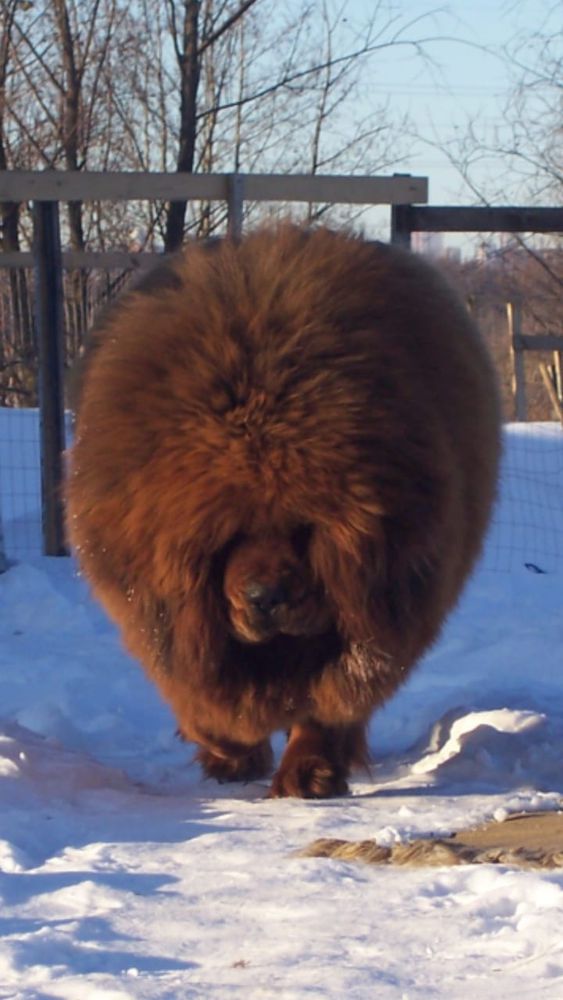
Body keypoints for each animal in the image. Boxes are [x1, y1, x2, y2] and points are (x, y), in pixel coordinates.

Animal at [67, 225, 502, 796]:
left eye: (302, 530)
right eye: (229, 537)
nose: (265, 597)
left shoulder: (368, 620)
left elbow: (326, 702)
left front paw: (308, 773)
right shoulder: (164, 614)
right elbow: (206, 696)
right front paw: (229, 752)